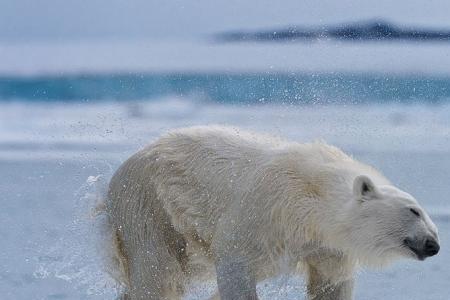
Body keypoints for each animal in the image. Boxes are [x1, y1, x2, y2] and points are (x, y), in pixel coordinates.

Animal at [106, 125, 440, 298]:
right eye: (414, 211)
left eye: (425, 214)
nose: (434, 245)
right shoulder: (264, 211)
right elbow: (236, 260)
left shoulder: (327, 246)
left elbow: (330, 282)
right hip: (149, 205)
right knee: (156, 271)